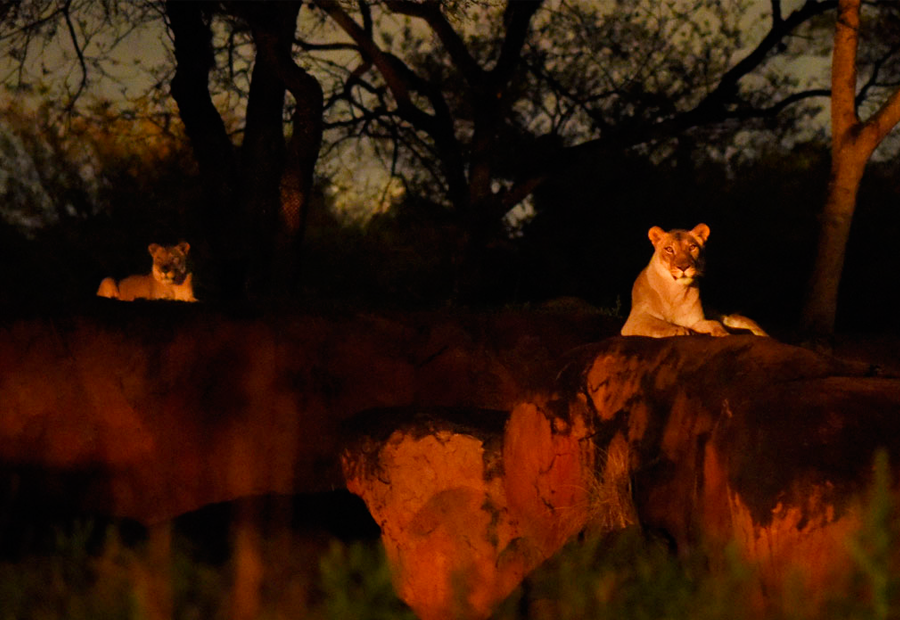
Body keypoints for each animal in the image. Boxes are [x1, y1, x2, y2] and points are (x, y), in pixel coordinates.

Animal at [624, 223, 764, 336]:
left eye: (692, 247)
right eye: (669, 249)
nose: (683, 267)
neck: (675, 292)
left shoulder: (695, 321)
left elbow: (714, 323)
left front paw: (723, 333)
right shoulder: (635, 320)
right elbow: (659, 324)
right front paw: (680, 330)